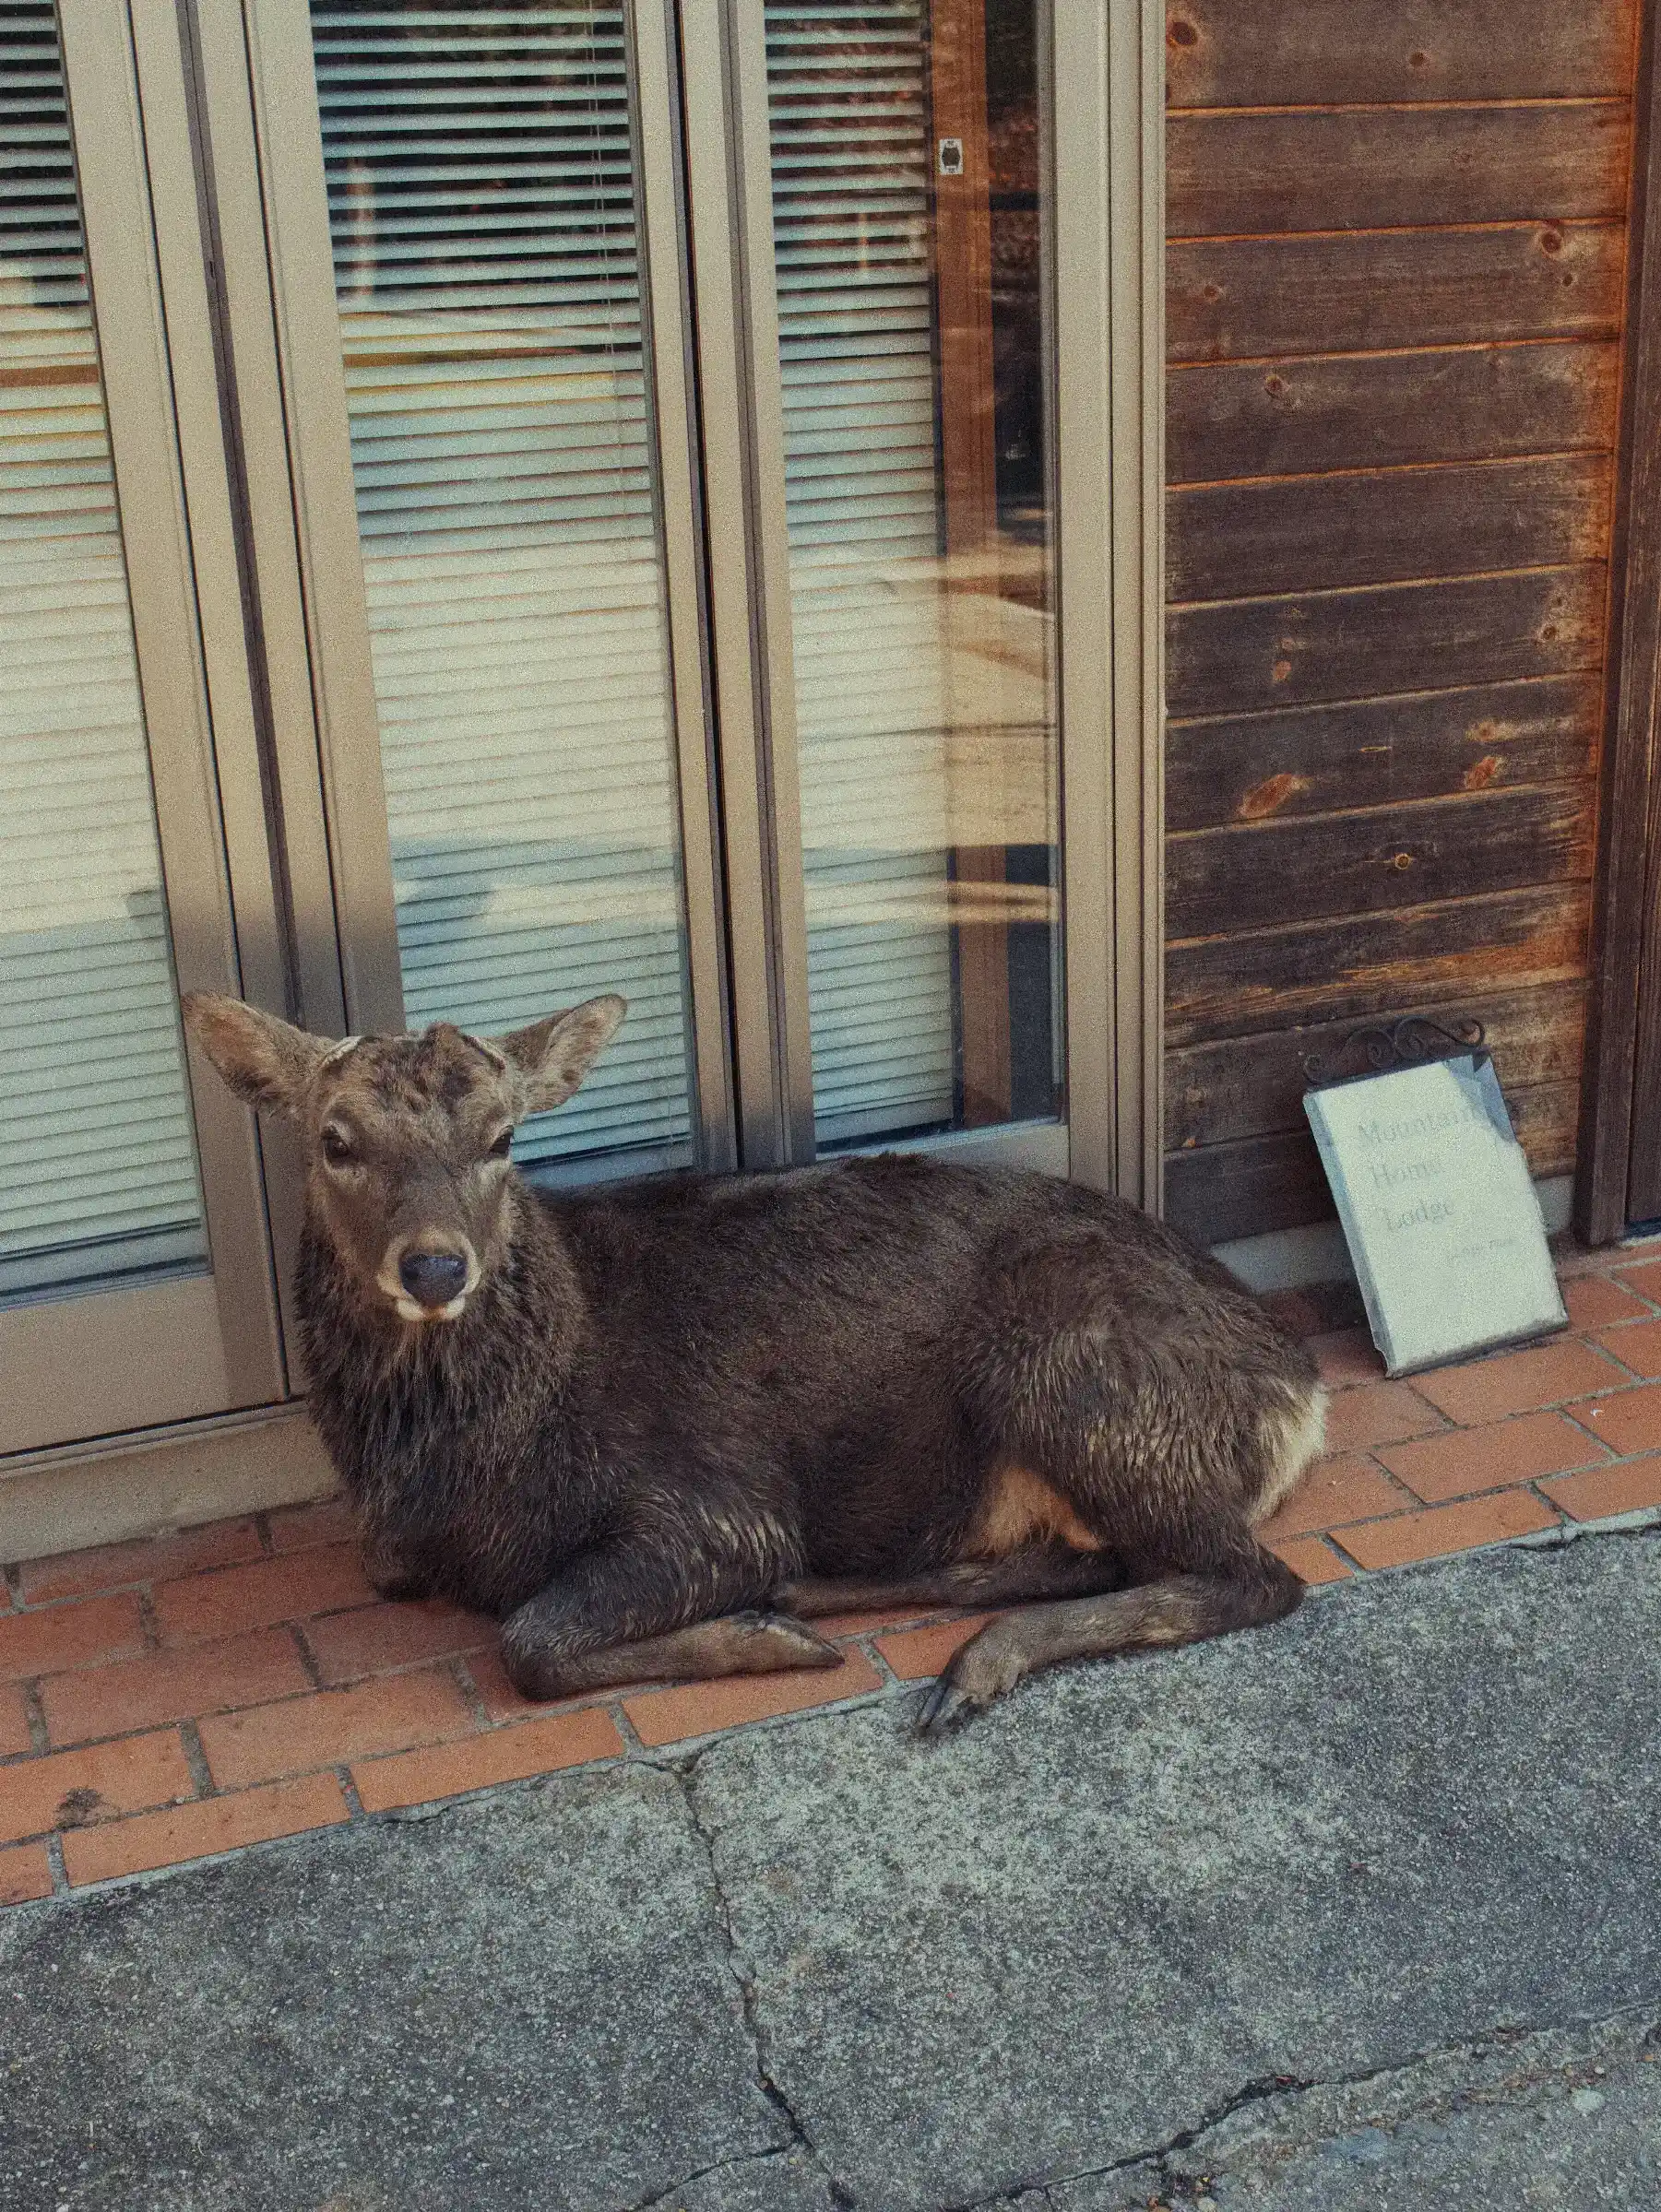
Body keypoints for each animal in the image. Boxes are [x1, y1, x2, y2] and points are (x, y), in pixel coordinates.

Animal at [182, 991, 1325, 1731]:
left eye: (501, 1137)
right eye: (335, 1139)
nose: (432, 1263)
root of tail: (1302, 1393)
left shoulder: (716, 1506)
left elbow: (530, 1636)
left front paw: (757, 1642)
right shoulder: (393, 1547)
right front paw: (771, 1626)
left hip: (1076, 1369)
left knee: (1254, 1576)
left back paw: (956, 1658)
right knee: (1093, 1555)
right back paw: (834, 1600)